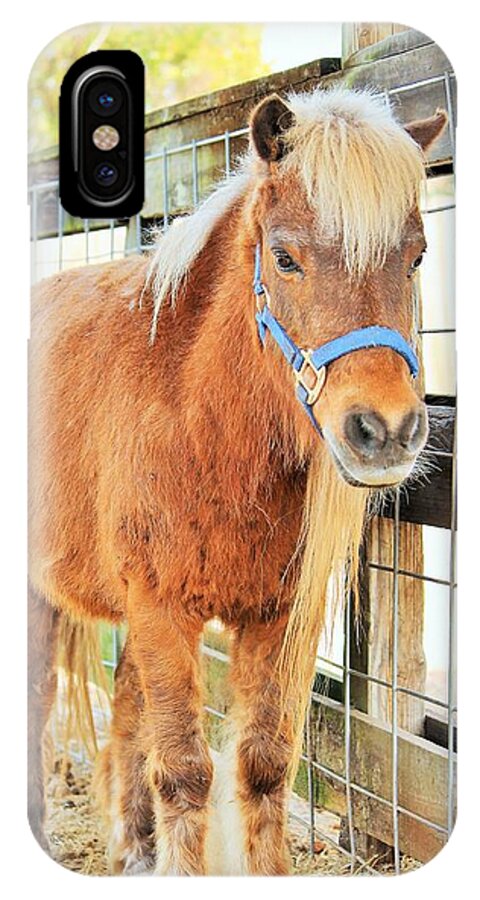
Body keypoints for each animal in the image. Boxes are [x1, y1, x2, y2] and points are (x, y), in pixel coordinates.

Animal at [28, 86, 447, 875]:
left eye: (416, 256)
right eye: (284, 258)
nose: (385, 430)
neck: (202, 423)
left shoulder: (278, 618)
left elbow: (262, 764)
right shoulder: (161, 608)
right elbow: (185, 770)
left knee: (125, 713)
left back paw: (133, 849)